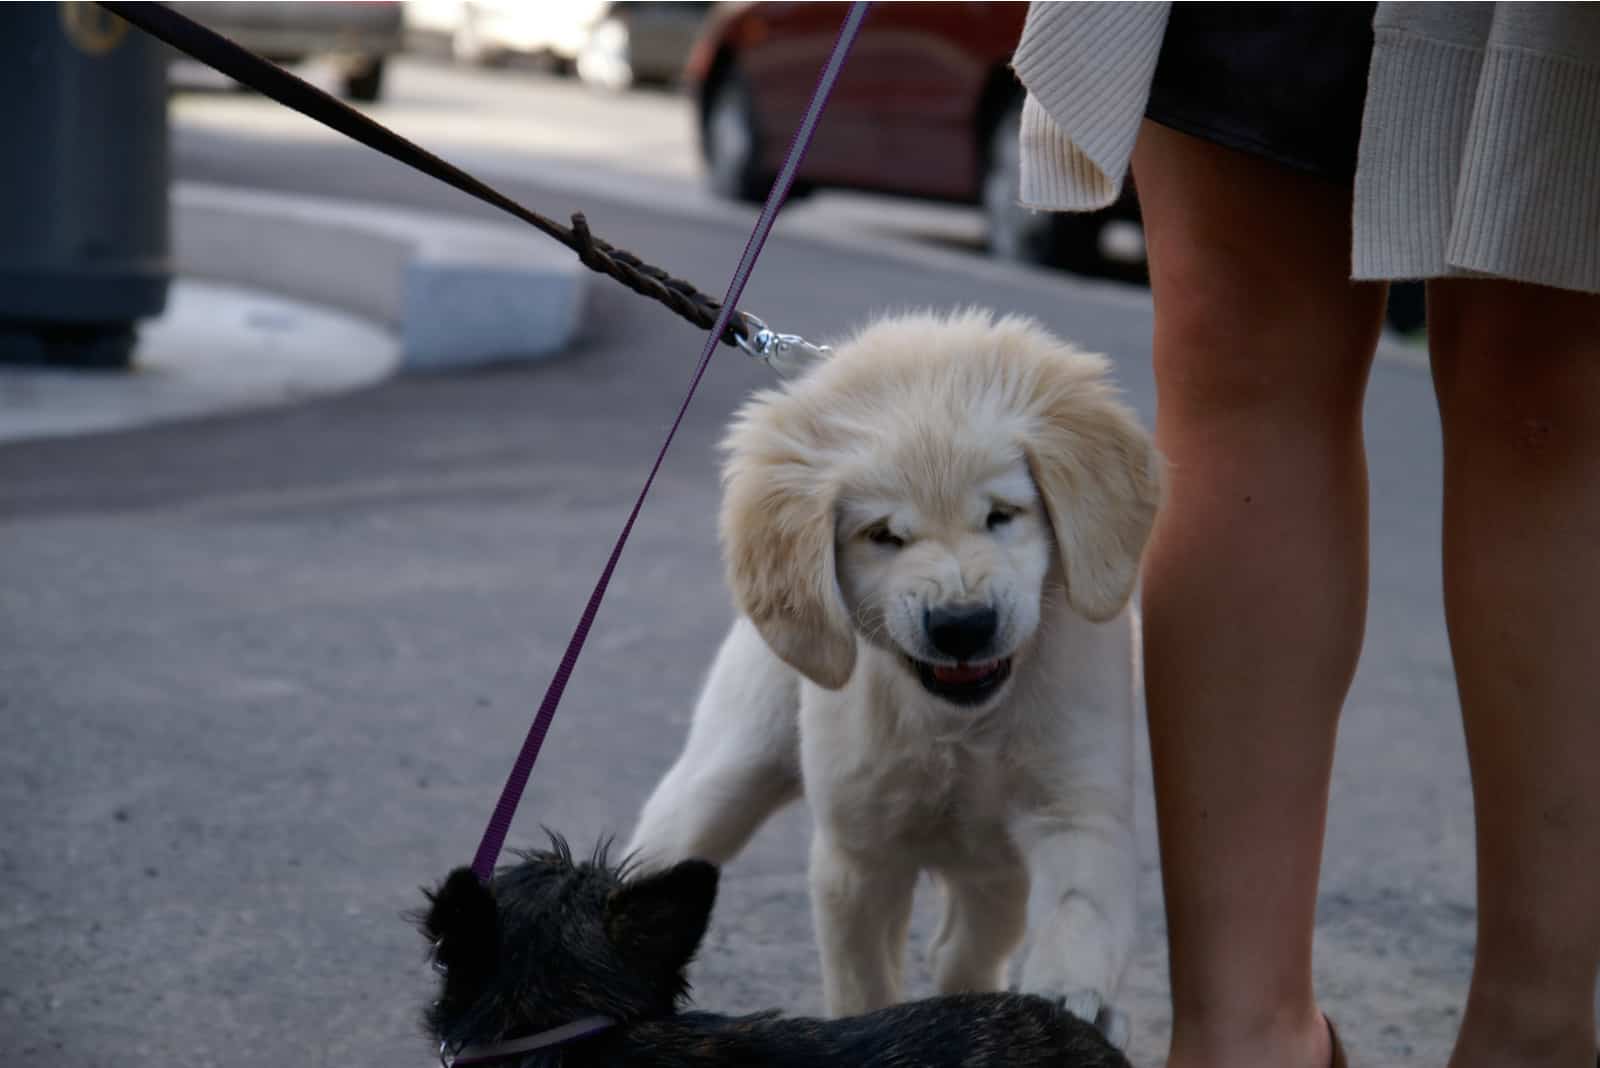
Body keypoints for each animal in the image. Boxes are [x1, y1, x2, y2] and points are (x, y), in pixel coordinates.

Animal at [624, 303, 1164, 1048]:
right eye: (883, 535)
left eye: (1002, 515)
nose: (963, 625)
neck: (962, 726)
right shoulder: (858, 858)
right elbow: (865, 986)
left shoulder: (1076, 810)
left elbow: (1077, 918)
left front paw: (1065, 1004)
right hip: (723, 776)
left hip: (993, 867)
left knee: (965, 946)